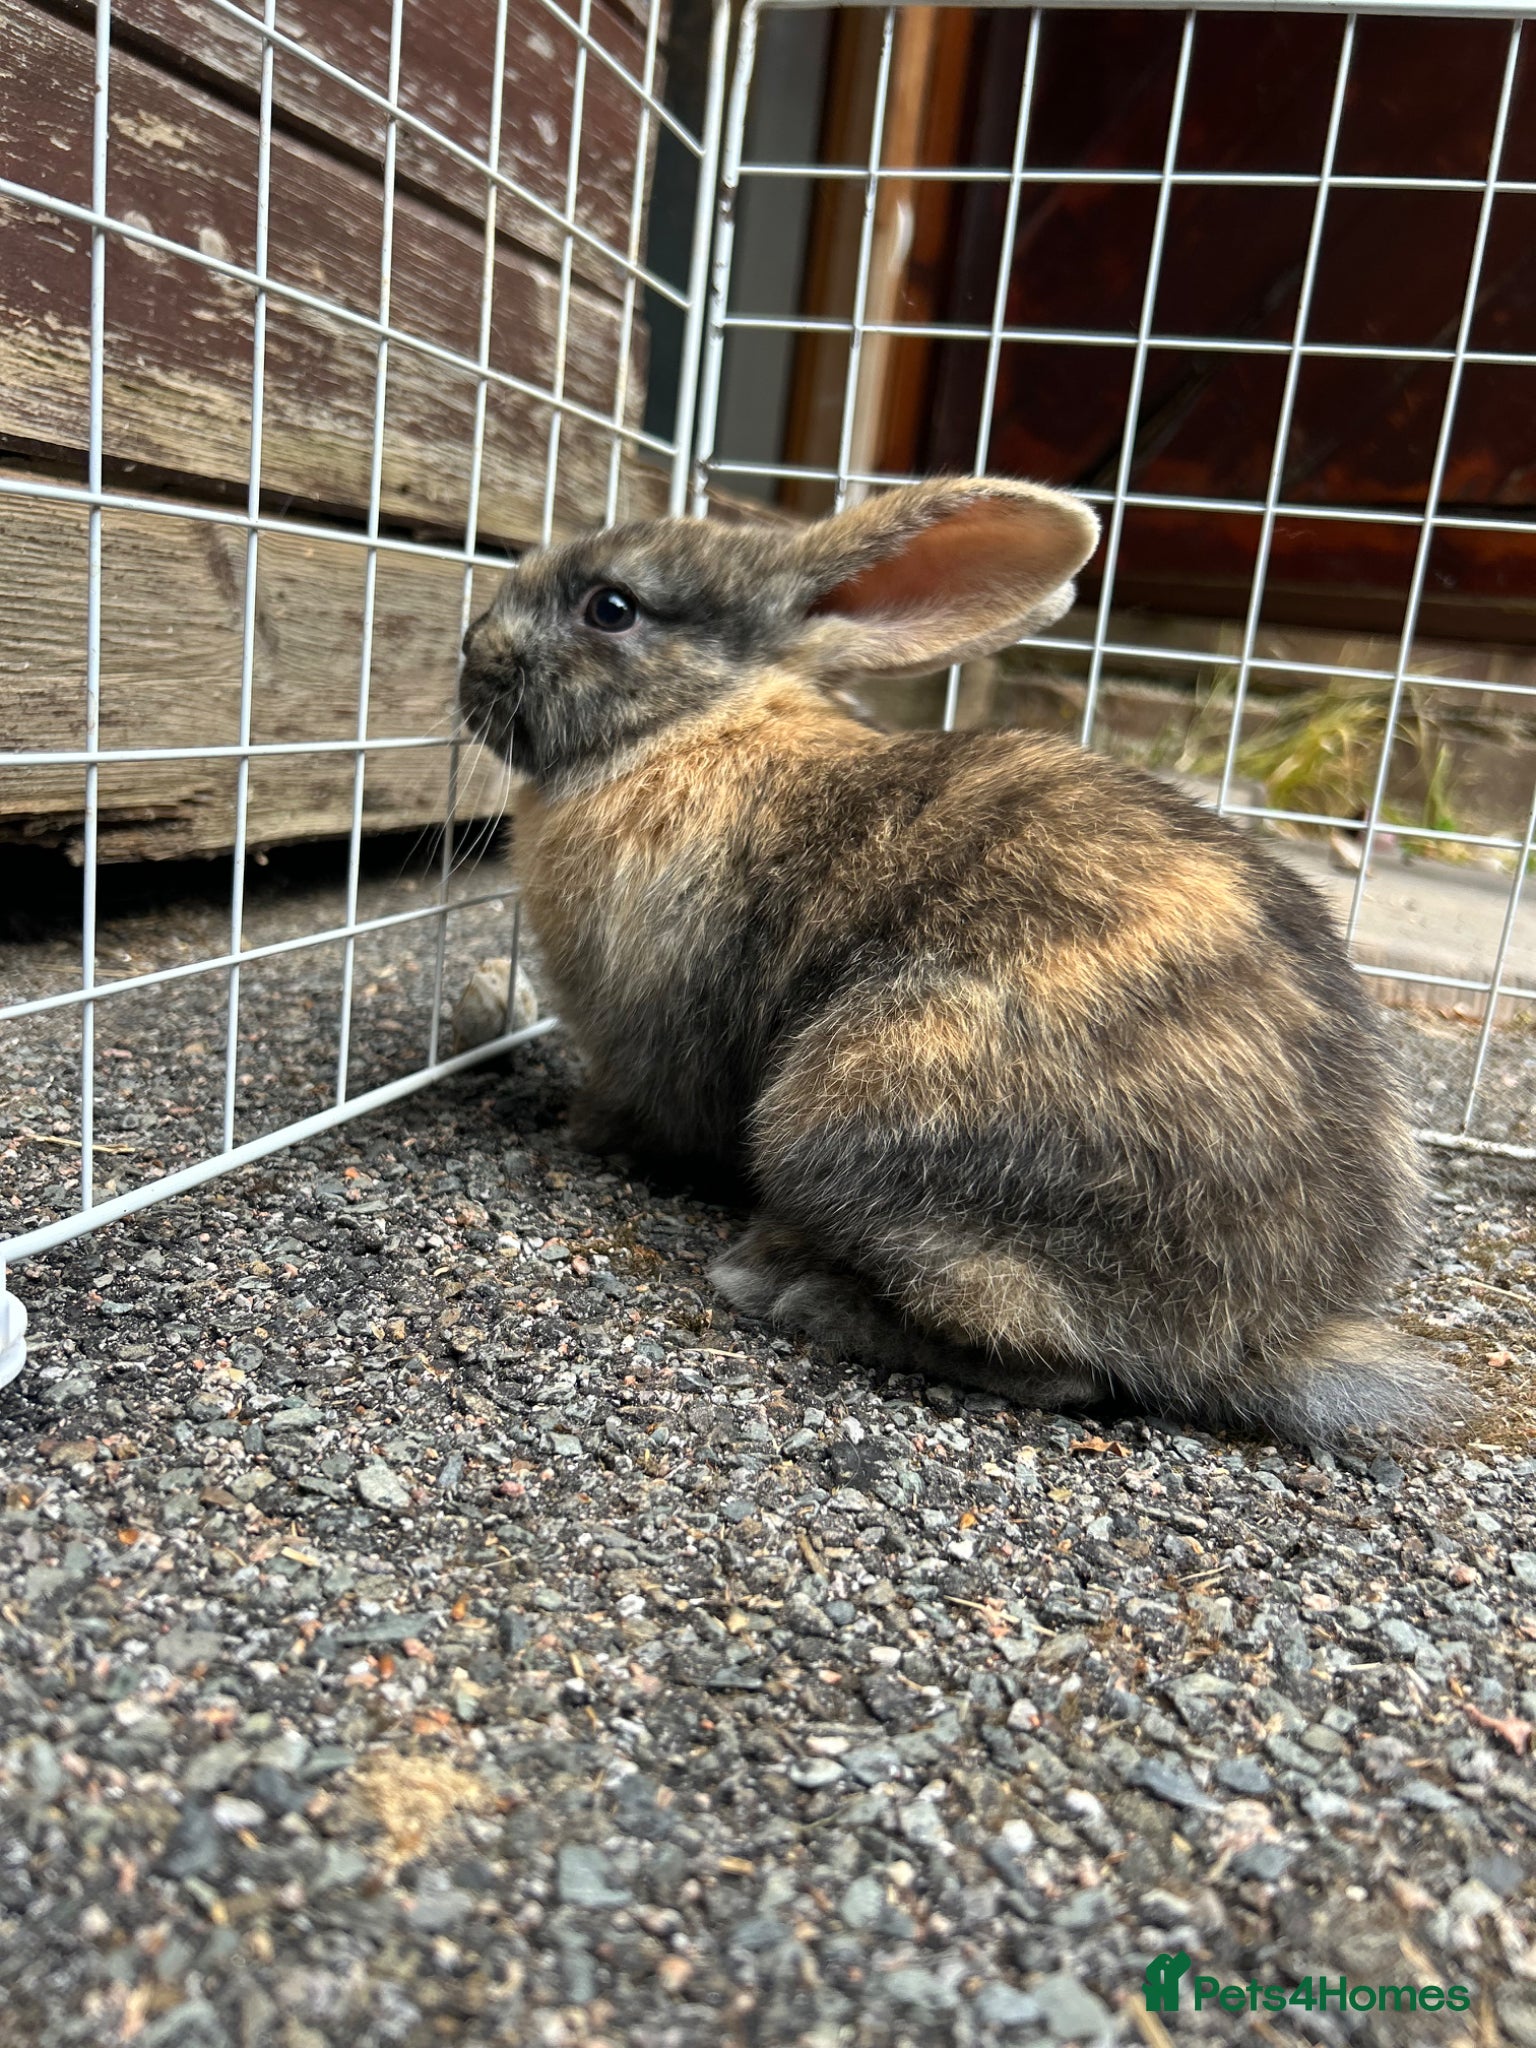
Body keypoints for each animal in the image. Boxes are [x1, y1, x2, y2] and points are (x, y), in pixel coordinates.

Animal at [459, 476, 1452, 1445]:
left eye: (611, 607)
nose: (473, 650)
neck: (696, 724)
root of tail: (1263, 1330)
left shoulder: (657, 1034)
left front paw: (583, 1129)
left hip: (859, 1110)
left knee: (1060, 1365)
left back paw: (785, 1286)